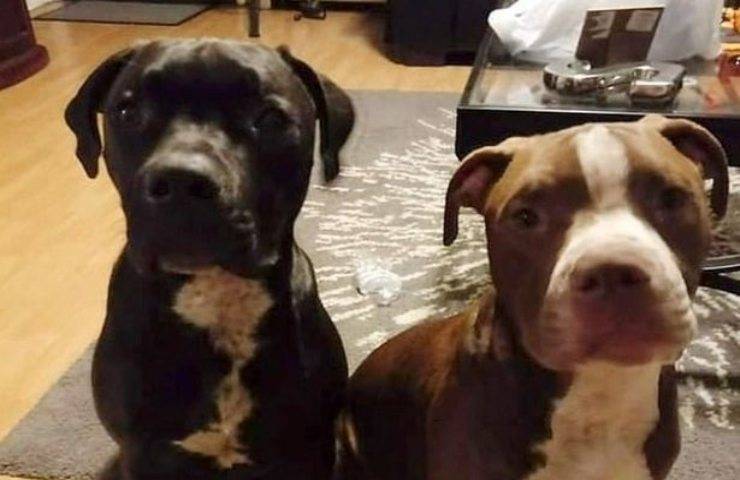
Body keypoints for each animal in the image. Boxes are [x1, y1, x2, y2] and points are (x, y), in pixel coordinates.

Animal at [65, 39, 354, 480]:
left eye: (270, 118)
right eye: (128, 111)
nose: (181, 181)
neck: (216, 296)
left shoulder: (308, 451)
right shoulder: (143, 454)